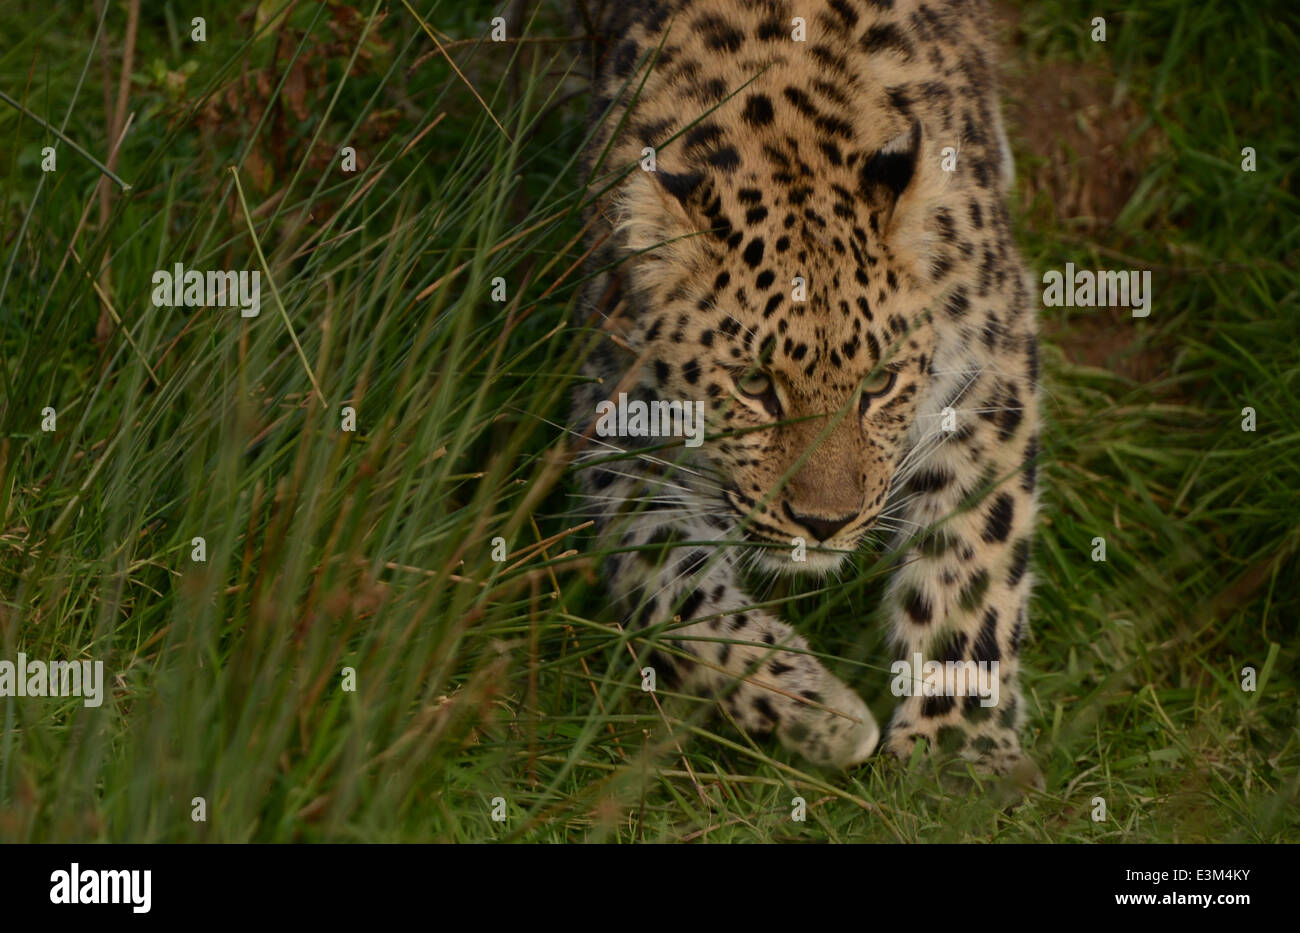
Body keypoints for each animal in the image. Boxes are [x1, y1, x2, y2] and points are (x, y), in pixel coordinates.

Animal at [569, 0, 1041, 785]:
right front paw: (815, 713)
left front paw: (956, 749)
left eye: (879, 383)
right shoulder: (614, 419)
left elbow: (972, 555)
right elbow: (666, 580)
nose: (825, 524)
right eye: (754, 385)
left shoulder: (990, 372)